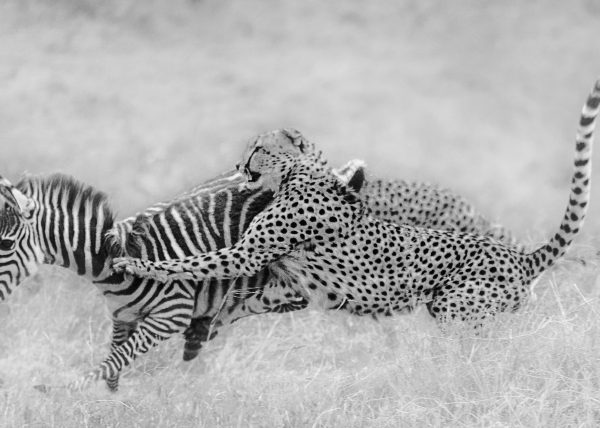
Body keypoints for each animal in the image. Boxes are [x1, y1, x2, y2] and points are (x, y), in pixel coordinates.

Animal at [113, 80, 600, 326]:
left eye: (258, 148)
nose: (238, 164)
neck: (302, 172)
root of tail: (519, 255)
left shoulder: (247, 254)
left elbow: (193, 263)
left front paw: (135, 265)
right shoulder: (284, 280)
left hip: (457, 308)